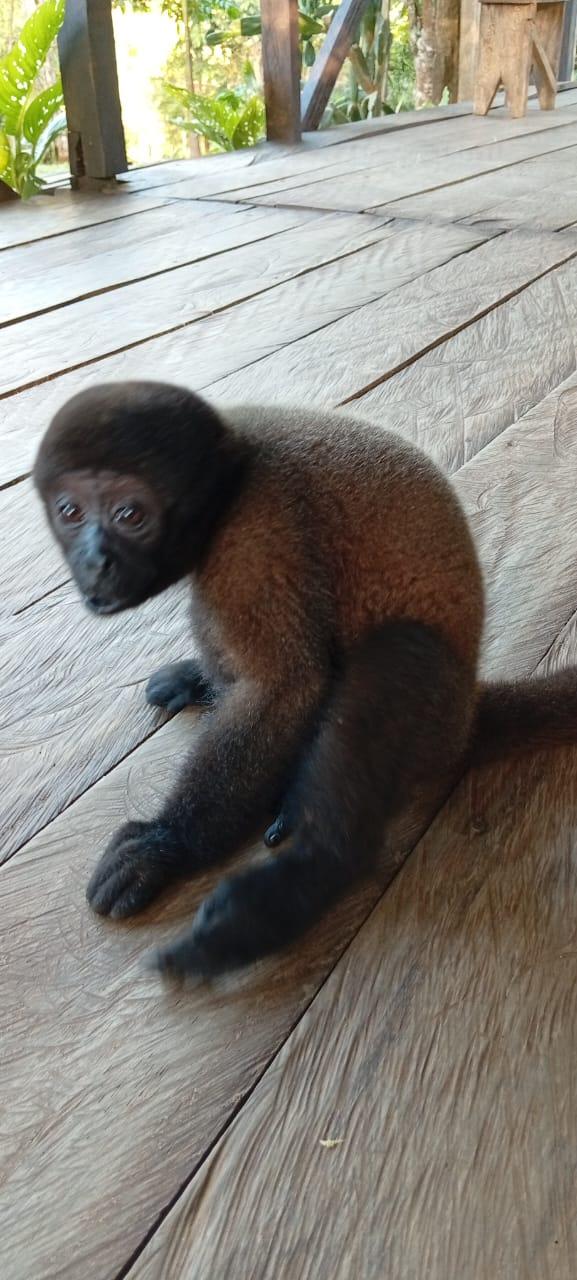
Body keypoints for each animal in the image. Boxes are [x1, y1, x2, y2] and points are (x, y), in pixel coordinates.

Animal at [33, 381, 577, 979]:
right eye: (69, 511)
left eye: (130, 514)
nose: (95, 561)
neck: (230, 469)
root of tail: (463, 725)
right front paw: (200, 682)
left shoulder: (254, 535)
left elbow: (286, 687)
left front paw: (167, 844)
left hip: (432, 724)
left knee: (398, 654)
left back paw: (294, 891)